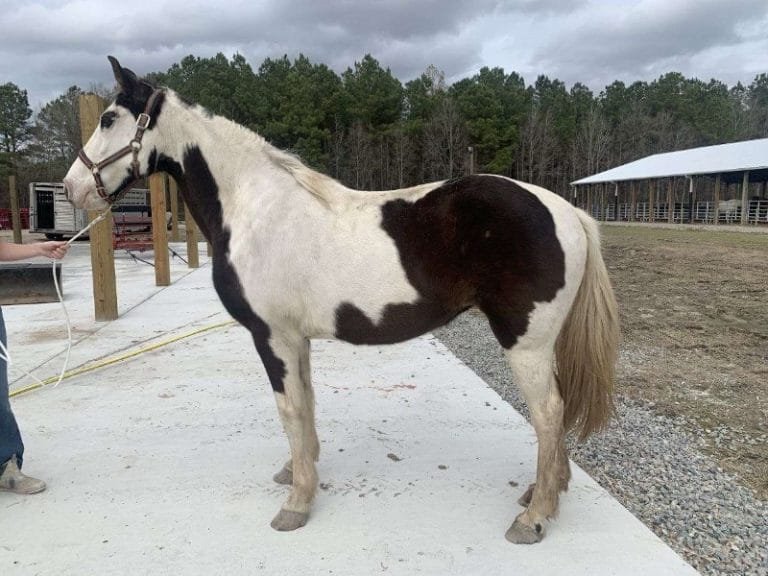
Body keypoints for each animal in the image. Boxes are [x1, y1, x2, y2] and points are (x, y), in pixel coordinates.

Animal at [63, 57, 620, 544]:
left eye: (109, 118)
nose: (72, 188)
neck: (255, 208)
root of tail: (565, 209)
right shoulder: (296, 339)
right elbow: (306, 404)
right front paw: (297, 472)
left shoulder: (272, 336)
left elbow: (289, 408)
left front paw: (295, 506)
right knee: (555, 417)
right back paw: (542, 493)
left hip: (526, 343)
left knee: (548, 413)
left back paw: (534, 517)